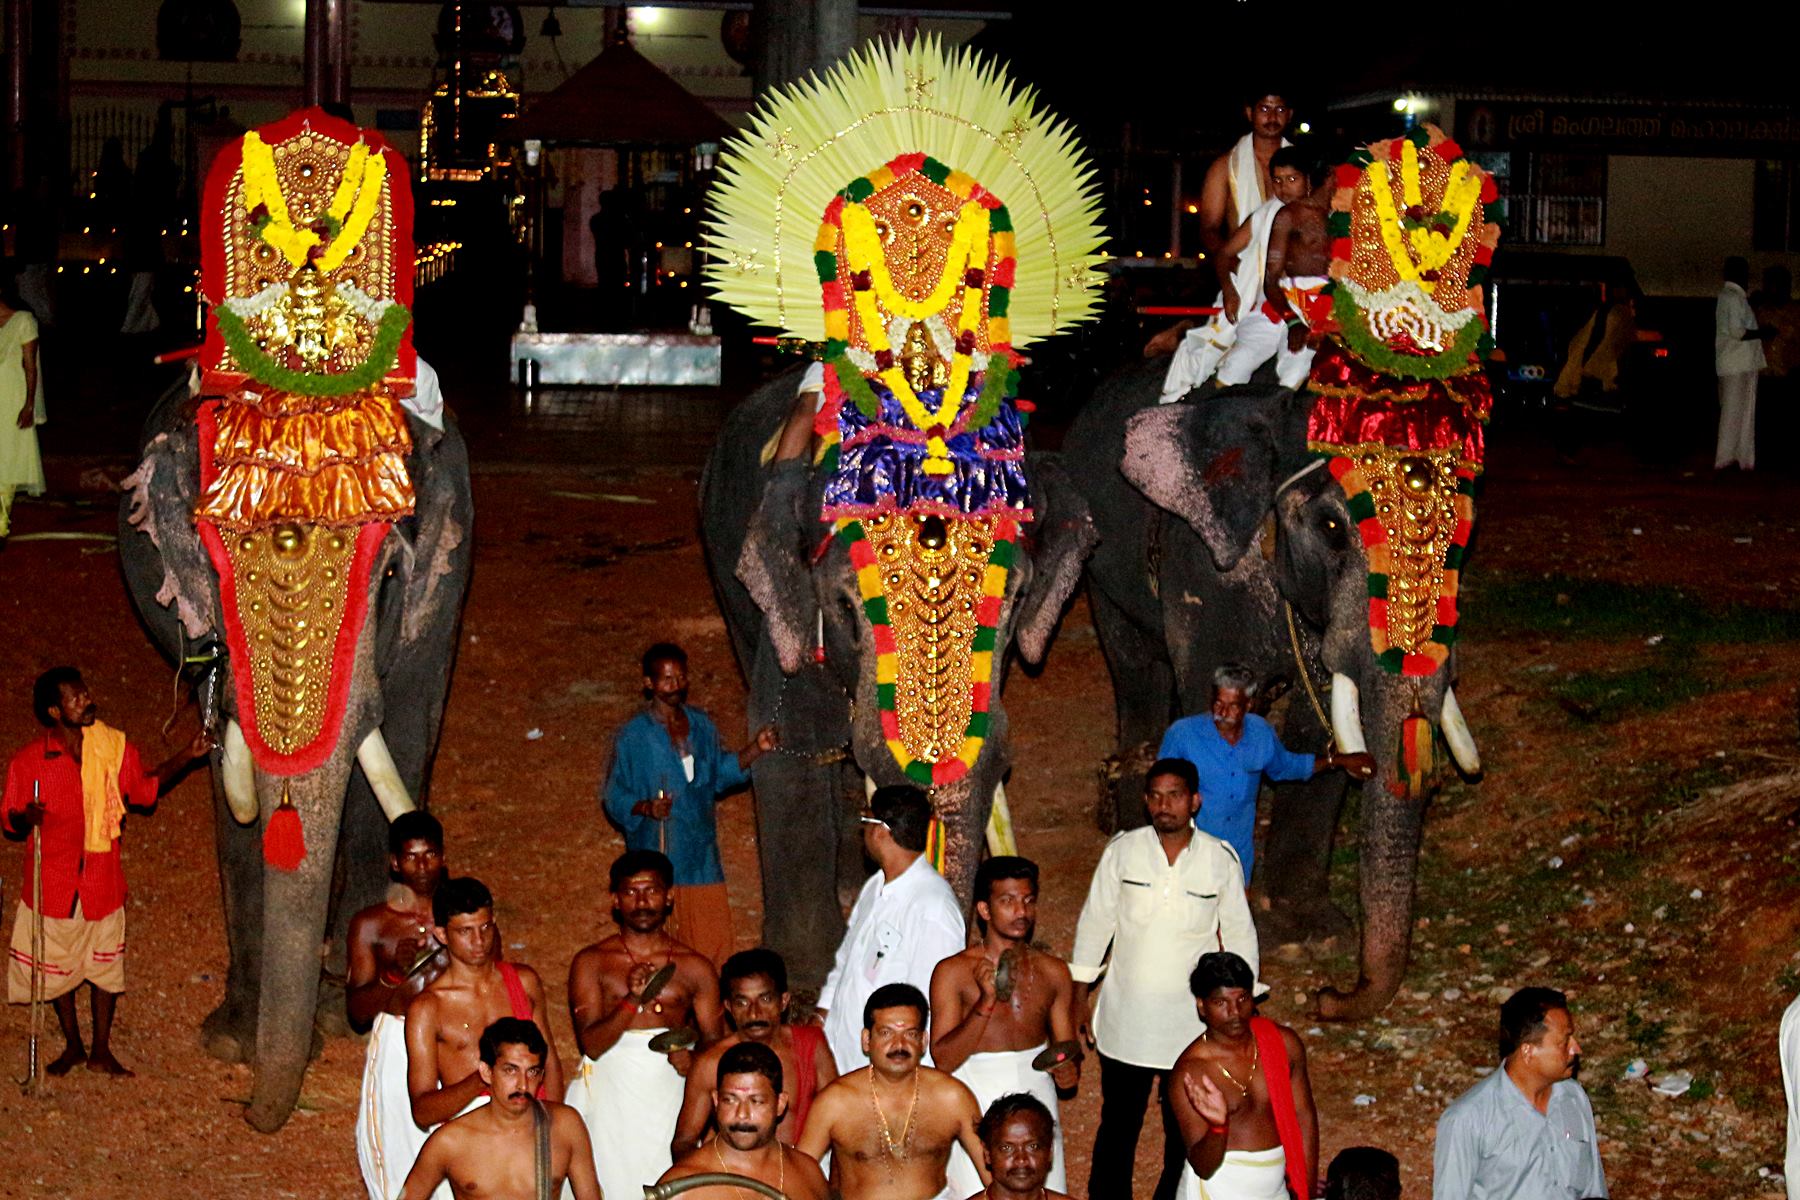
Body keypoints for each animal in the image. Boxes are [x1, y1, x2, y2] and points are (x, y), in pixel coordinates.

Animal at [114, 107, 471, 1129]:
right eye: (208, 558)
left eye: (388, 574)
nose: (249, 1115)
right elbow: (231, 786)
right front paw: (238, 1044)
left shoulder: (441, 591)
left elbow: (395, 747)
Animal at [1065, 126, 1490, 1021]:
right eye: (1330, 527)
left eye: (1458, 544)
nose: (1332, 999)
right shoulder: (1206, 555)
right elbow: (1204, 698)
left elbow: (1318, 724)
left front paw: (1306, 932)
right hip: (1099, 547)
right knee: (1137, 670)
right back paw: (1119, 806)